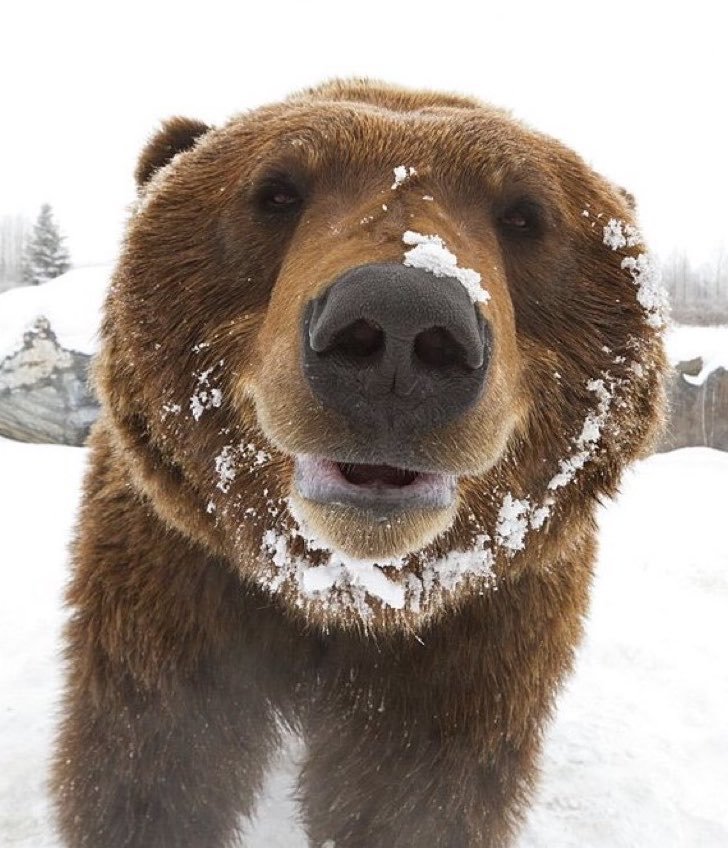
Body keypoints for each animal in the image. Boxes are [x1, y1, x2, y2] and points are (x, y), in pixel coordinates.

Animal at [51, 79, 667, 848]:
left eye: (525, 214)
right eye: (276, 191)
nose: (401, 322)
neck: (343, 589)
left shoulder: (476, 636)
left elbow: (408, 794)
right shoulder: (178, 576)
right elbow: (152, 759)